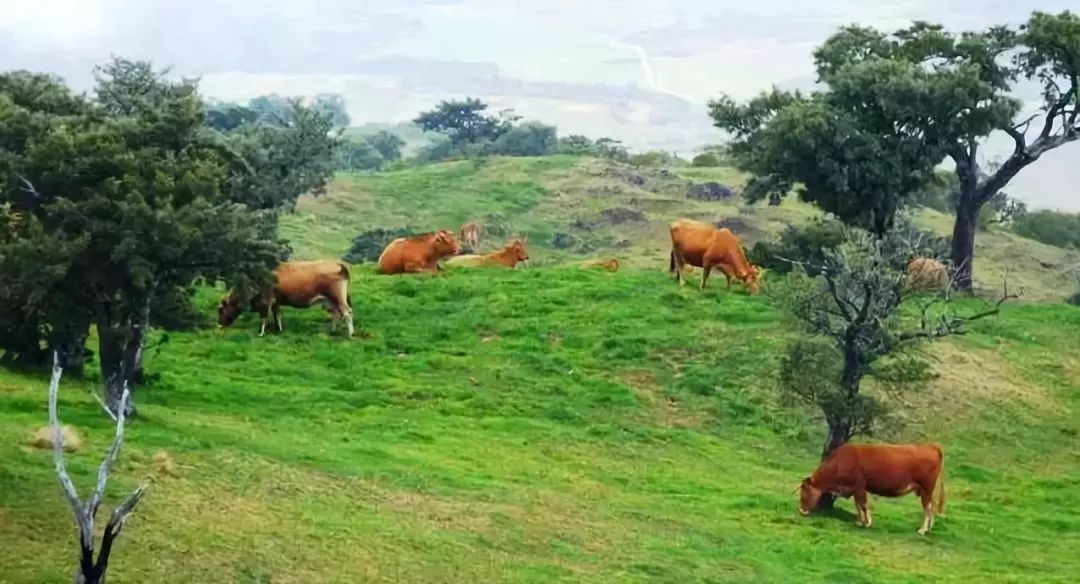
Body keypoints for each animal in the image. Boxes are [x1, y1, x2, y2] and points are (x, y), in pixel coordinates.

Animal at [216, 261, 354, 336]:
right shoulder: (275, 301)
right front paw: (279, 329)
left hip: (338, 297)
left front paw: (261, 333)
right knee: (335, 313)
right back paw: (333, 330)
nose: (219, 325)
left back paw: (351, 334)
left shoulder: (266, 301)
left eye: (220, 310)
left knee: (347, 313)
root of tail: (337, 263)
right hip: (330, 299)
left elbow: (264, 317)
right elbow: (277, 314)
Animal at [794, 442, 946, 533]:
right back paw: (929, 528)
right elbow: (858, 505)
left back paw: (922, 530)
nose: (801, 510)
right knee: (931, 507)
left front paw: (867, 523)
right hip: (927, 491)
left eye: (804, 492)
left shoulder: (859, 487)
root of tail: (930, 445)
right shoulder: (855, 489)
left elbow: (863, 505)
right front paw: (860, 521)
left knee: (927, 509)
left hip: (926, 489)